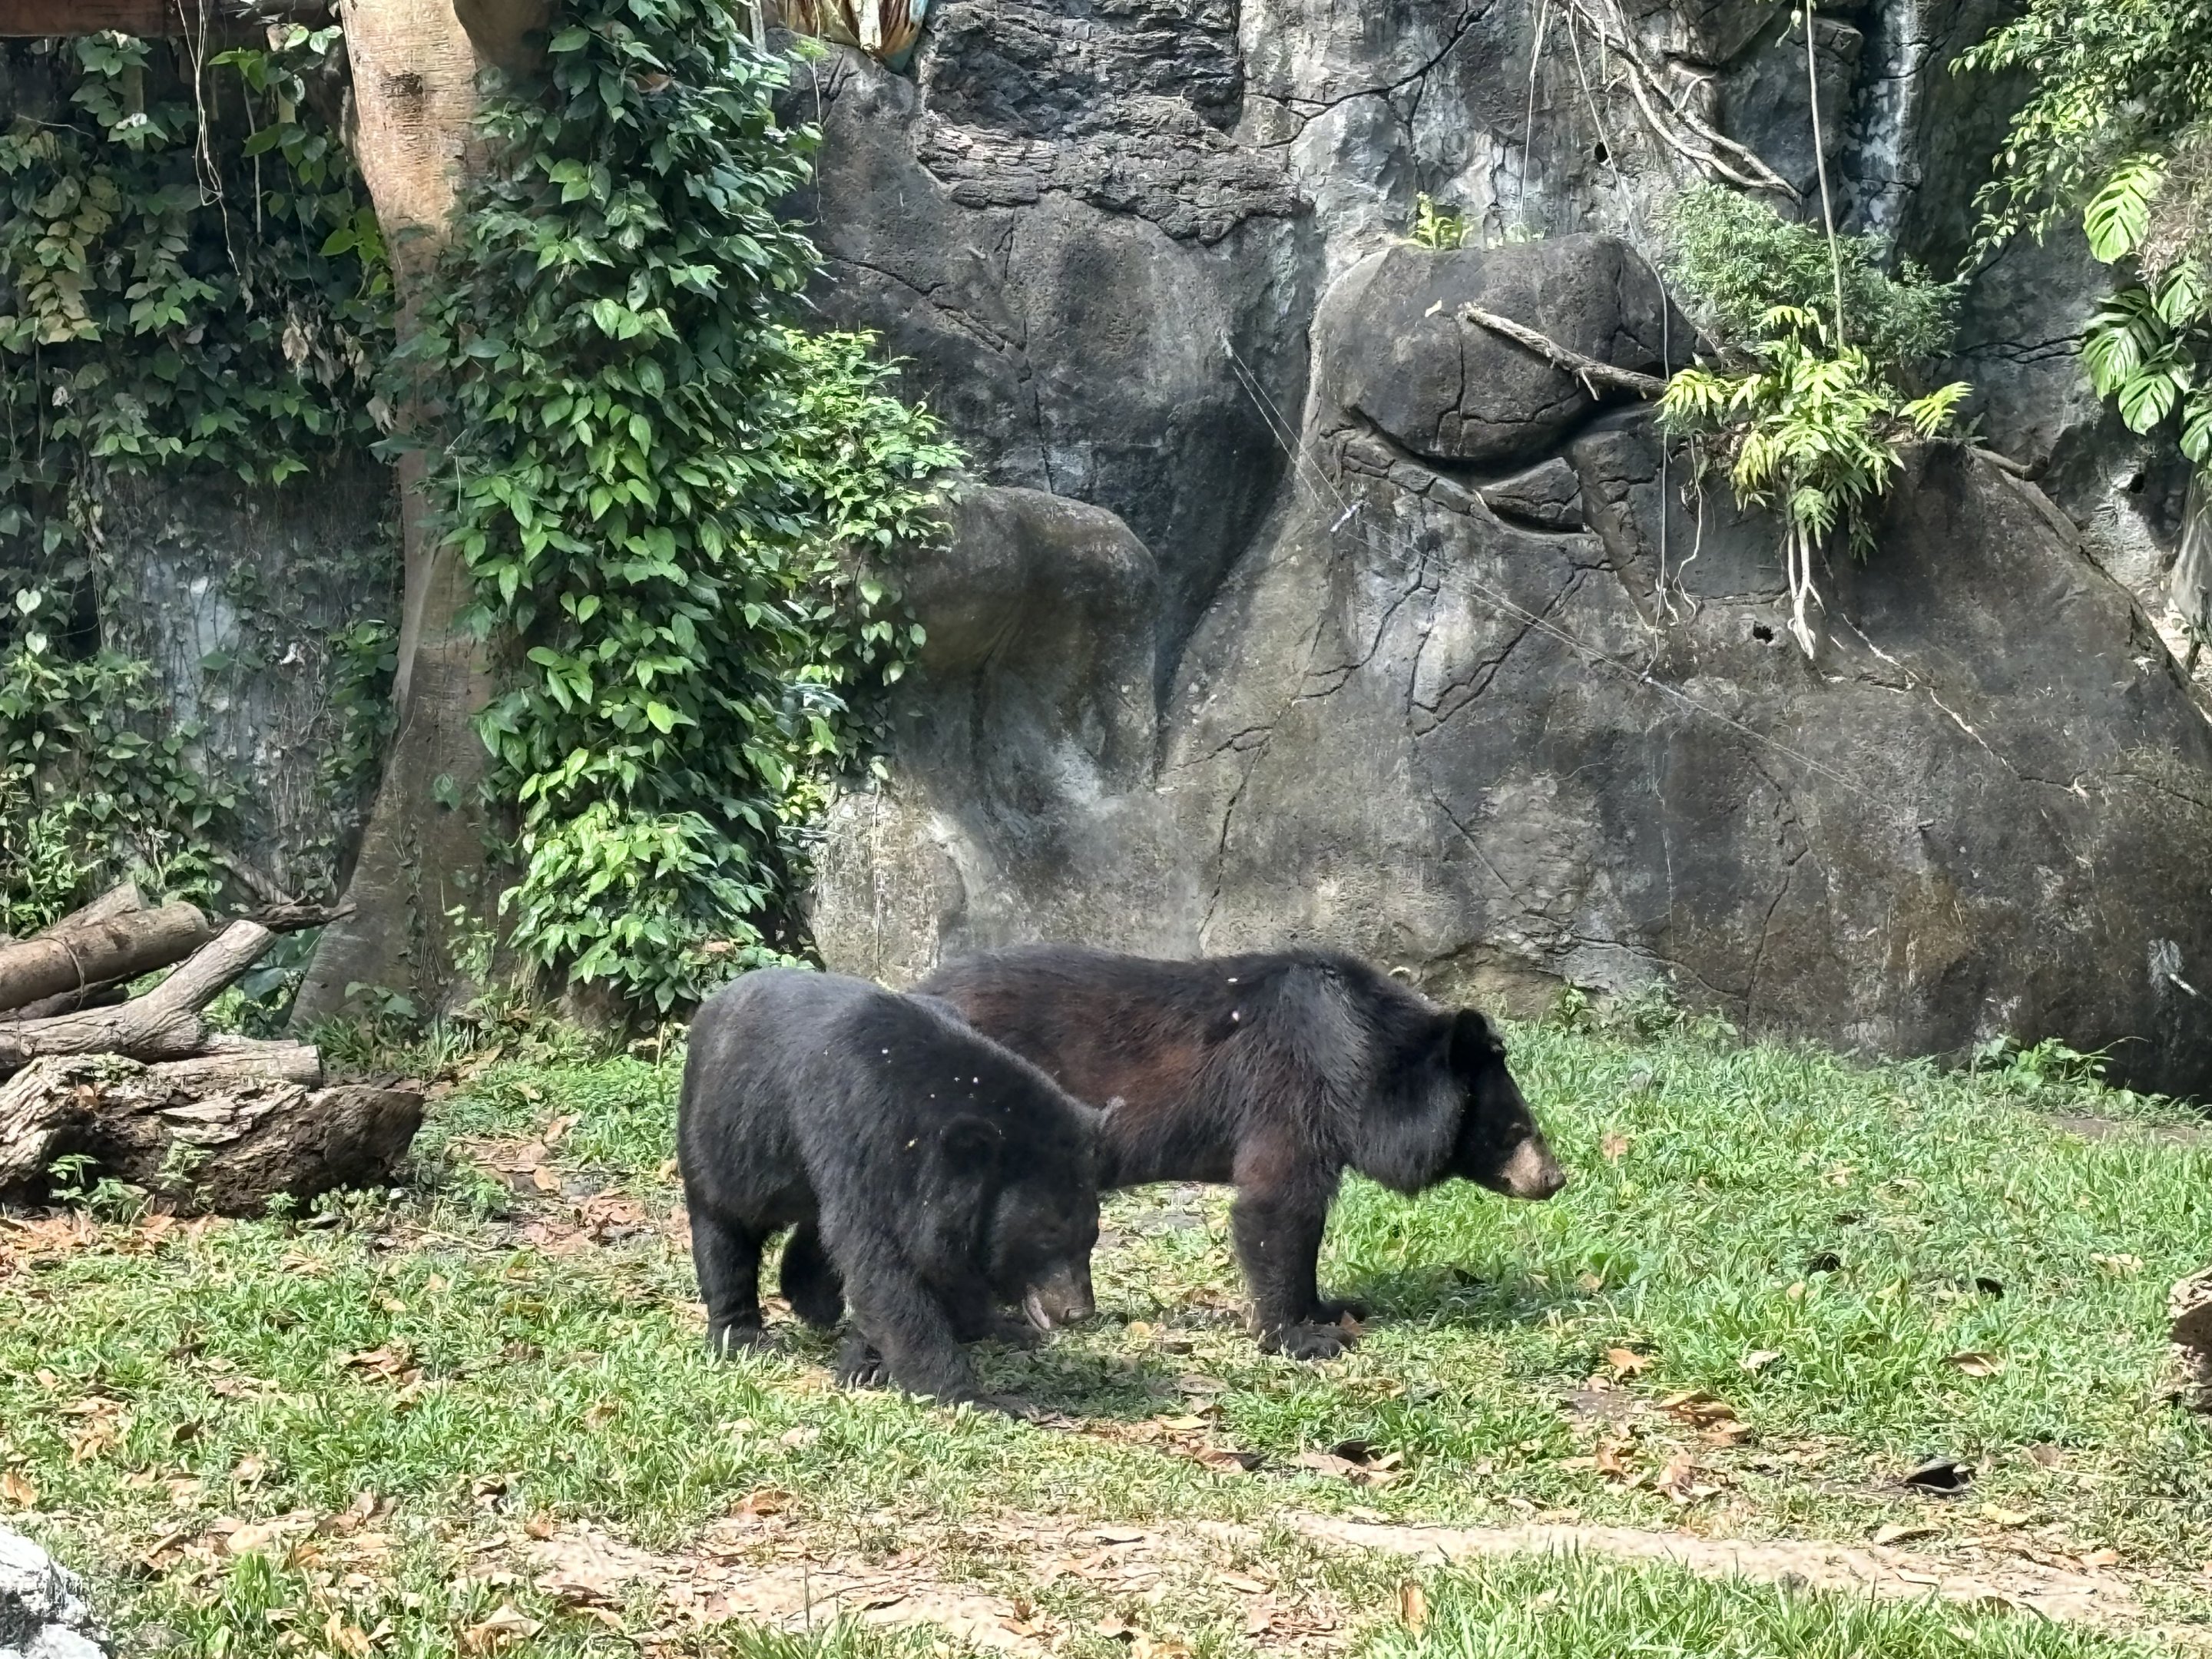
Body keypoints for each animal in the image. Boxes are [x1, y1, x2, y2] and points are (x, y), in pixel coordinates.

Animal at [677, 968, 1102, 1410]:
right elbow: (881, 1265)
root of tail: (716, 1001)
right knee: (725, 1228)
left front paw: (866, 1363)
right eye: (1045, 1237)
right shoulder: (862, 1130)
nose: (1078, 1312)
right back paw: (743, 1337)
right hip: (727, 1133)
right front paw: (971, 1396)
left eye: (1091, 1235)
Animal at [916, 944, 1566, 1360]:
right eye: (1516, 1129)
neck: (1362, 1055)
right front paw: (1301, 1338)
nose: (1554, 1179)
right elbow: (1277, 1208)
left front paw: (1330, 1307)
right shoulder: (1292, 1088)